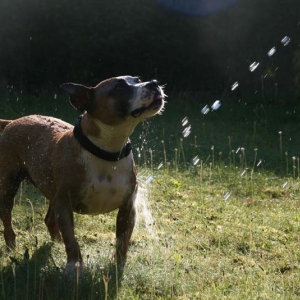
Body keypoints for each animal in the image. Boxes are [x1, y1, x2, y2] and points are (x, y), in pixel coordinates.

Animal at [0, 75, 164, 270]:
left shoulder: (128, 208)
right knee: (7, 215)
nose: (154, 83)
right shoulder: (65, 205)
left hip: (53, 193)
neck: (107, 151)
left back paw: (56, 242)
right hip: (9, 184)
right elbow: (72, 240)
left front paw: (119, 268)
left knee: (49, 219)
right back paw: (11, 244)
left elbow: (122, 242)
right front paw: (74, 267)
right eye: (118, 88)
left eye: (137, 80)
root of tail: (13, 122)